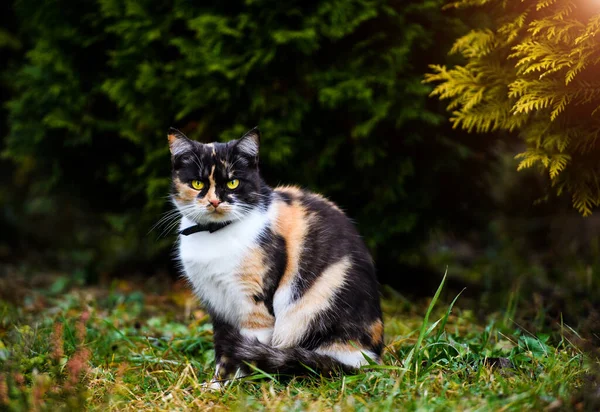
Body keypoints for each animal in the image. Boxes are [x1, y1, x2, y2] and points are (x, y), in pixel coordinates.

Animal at [168, 126, 384, 384]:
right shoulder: (216, 304)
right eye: (197, 183)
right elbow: (223, 348)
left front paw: (240, 384)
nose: (214, 201)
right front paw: (216, 384)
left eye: (233, 182)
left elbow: (248, 350)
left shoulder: (255, 304)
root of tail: (371, 357)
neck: (214, 234)